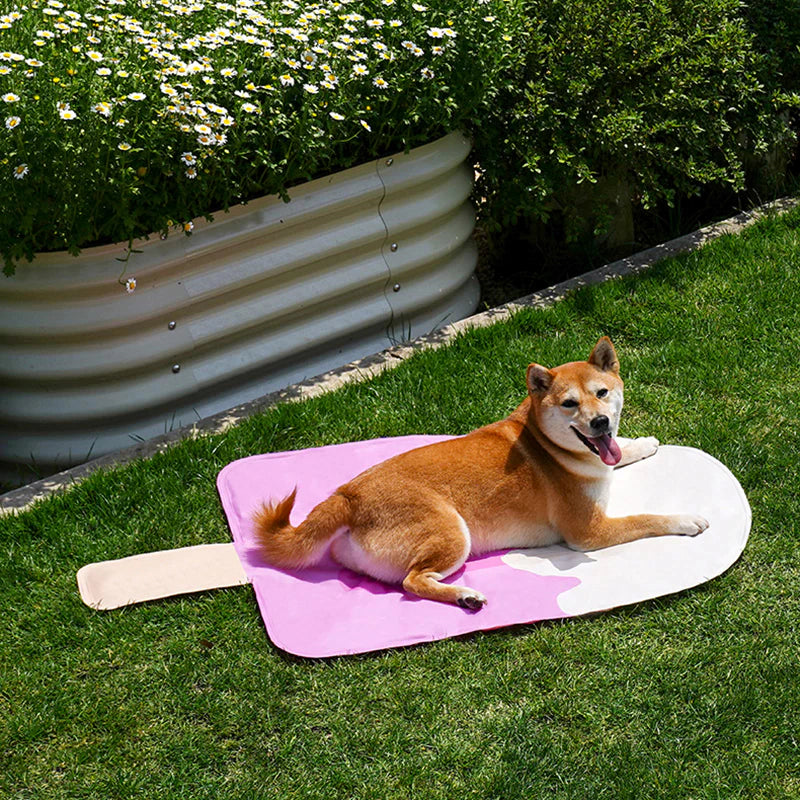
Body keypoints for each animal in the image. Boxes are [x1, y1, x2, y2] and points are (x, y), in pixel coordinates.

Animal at [253, 338, 708, 608]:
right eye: (569, 404)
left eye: (602, 393)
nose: (600, 423)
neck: (548, 442)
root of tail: (346, 495)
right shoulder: (588, 532)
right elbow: (646, 519)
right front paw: (686, 519)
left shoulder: (605, 457)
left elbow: (623, 451)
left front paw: (643, 444)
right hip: (453, 533)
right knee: (412, 582)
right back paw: (465, 595)